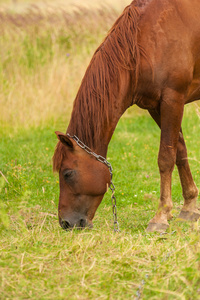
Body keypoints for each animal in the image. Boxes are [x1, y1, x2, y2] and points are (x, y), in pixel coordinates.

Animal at [52, 0, 200, 232]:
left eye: (67, 173)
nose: (66, 223)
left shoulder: (173, 99)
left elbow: (166, 157)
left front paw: (160, 216)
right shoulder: (156, 106)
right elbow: (180, 152)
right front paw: (189, 207)